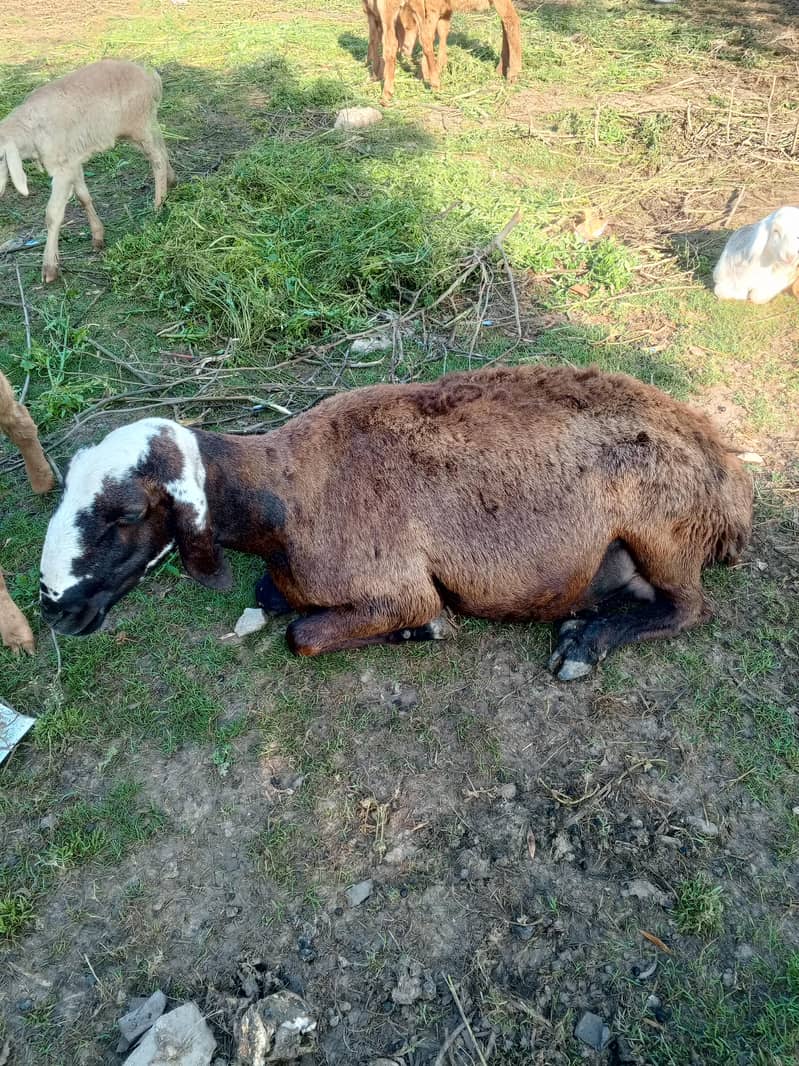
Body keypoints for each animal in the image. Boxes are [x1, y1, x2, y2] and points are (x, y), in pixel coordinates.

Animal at [0, 59, 175, 284]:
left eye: (0, 157)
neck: (30, 129)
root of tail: (150, 75)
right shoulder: (73, 162)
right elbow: (83, 197)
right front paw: (98, 235)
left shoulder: (63, 169)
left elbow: (53, 214)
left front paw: (50, 267)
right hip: (146, 123)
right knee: (162, 146)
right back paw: (172, 181)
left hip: (140, 123)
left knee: (157, 159)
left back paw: (158, 204)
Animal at [38, 364, 752, 680]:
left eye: (129, 512)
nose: (52, 607)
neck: (288, 492)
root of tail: (728, 472)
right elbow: (273, 597)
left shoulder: (396, 588)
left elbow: (302, 635)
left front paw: (425, 629)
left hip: (660, 528)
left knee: (688, 608)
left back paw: (585, 642)